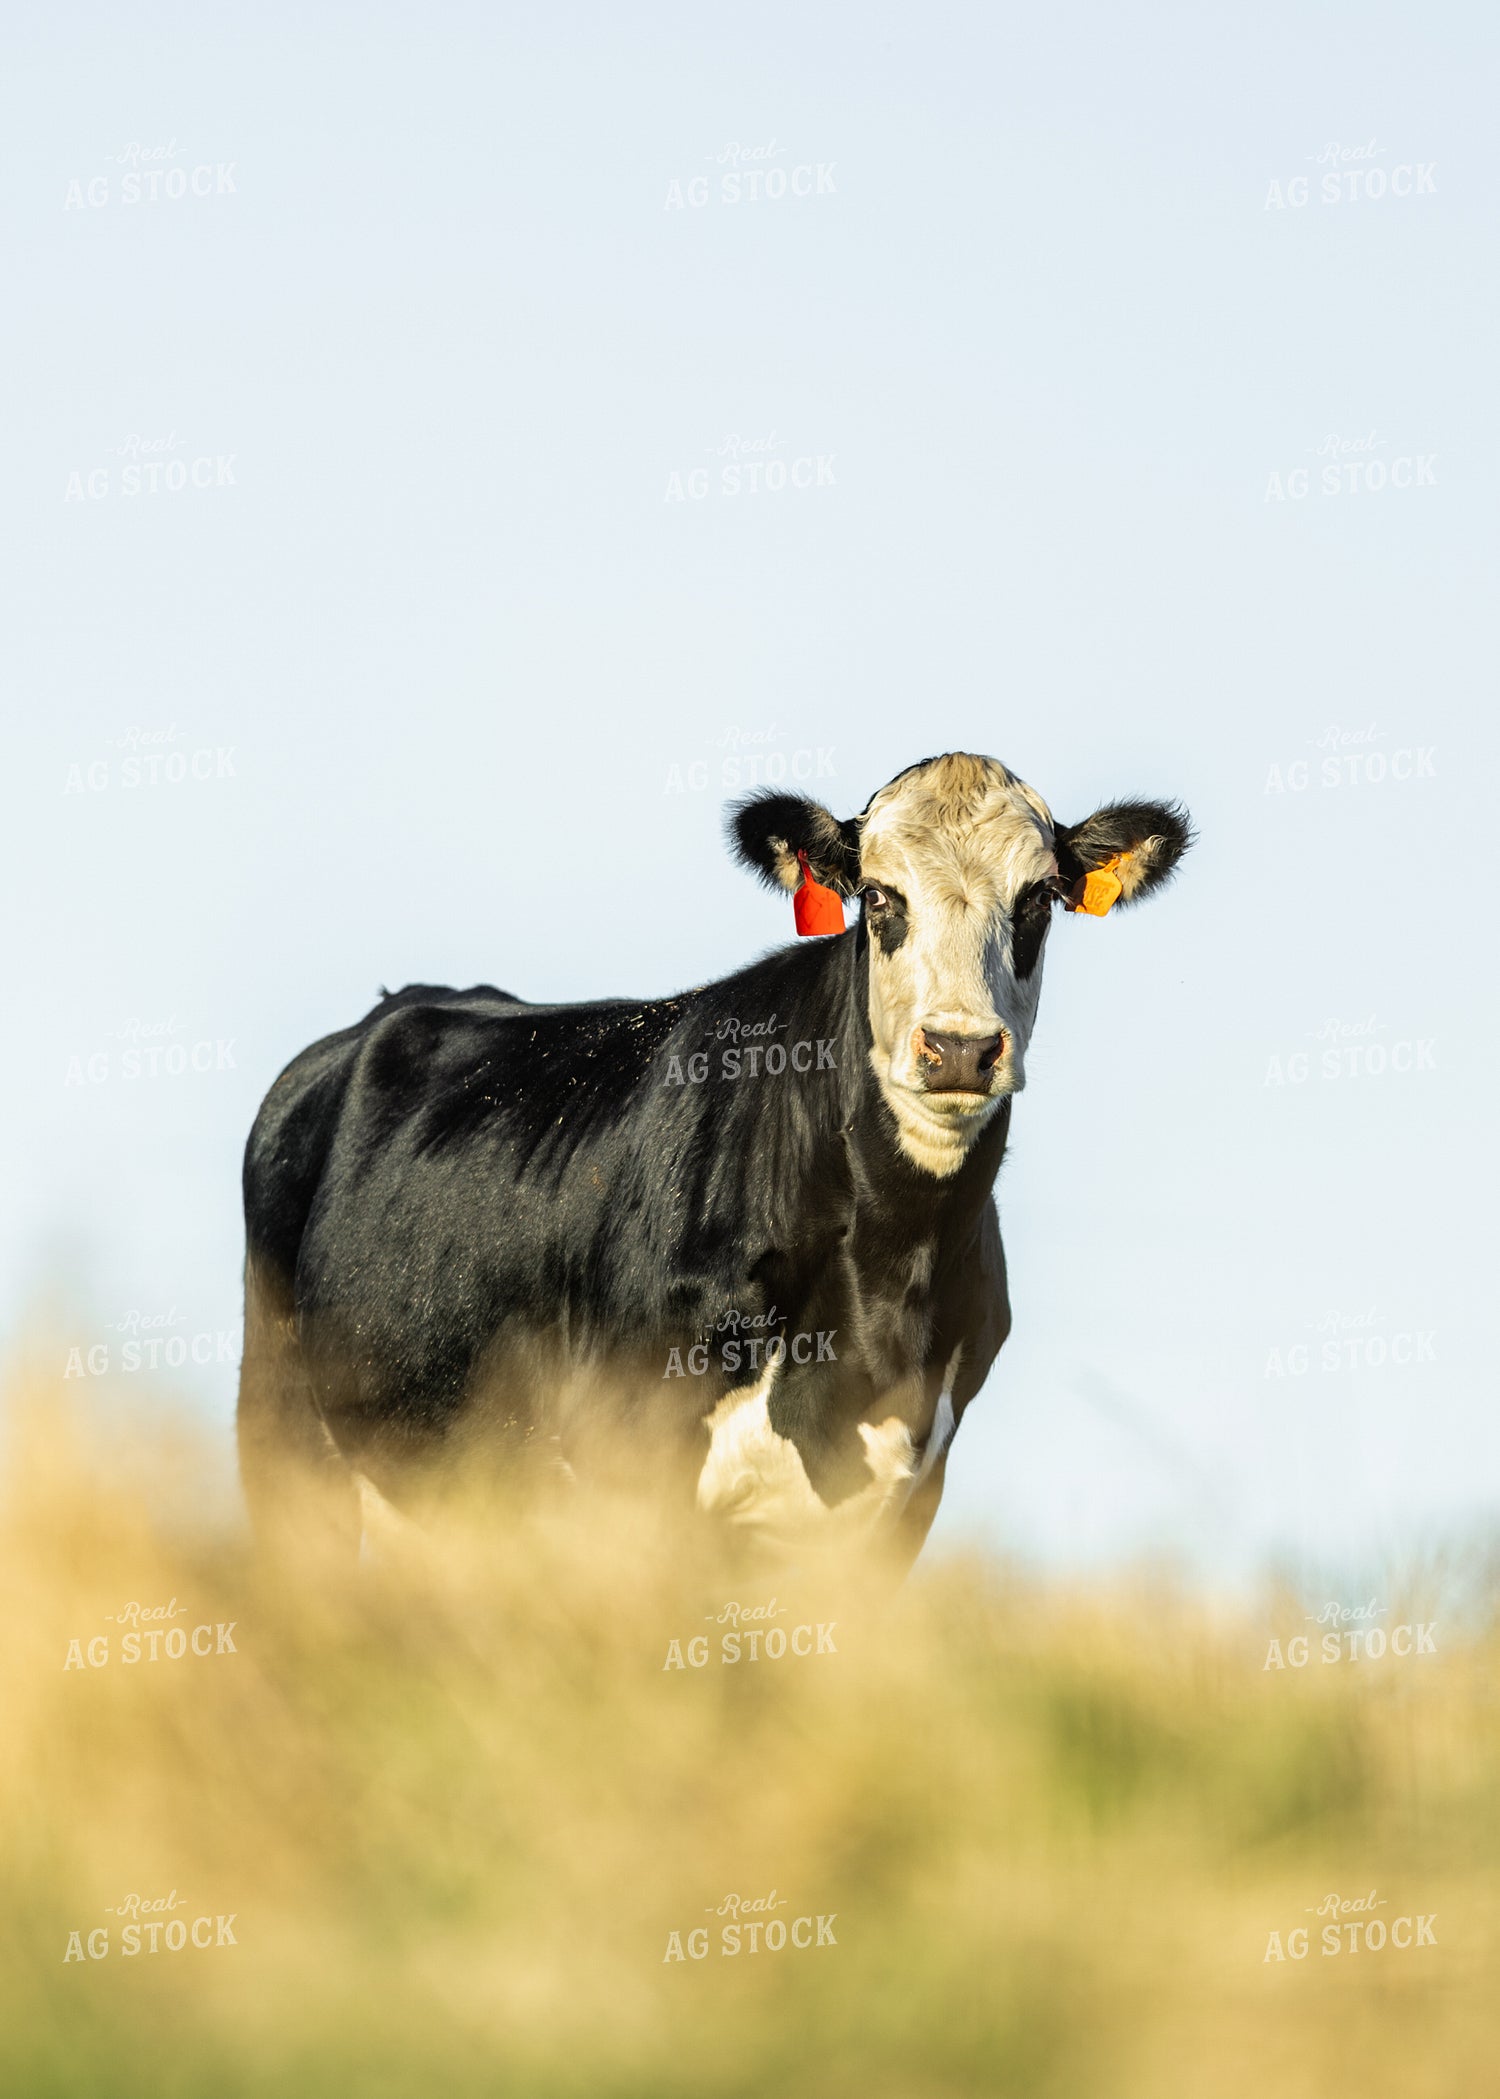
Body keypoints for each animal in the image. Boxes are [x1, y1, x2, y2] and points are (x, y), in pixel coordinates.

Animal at [237, 752, 1191, 1575]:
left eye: (1038, 901)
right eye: (880, 898)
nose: (959, 1047)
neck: (890, 1275)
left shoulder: (904, 1502)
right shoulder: (631, 1477)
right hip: (285, 1437)